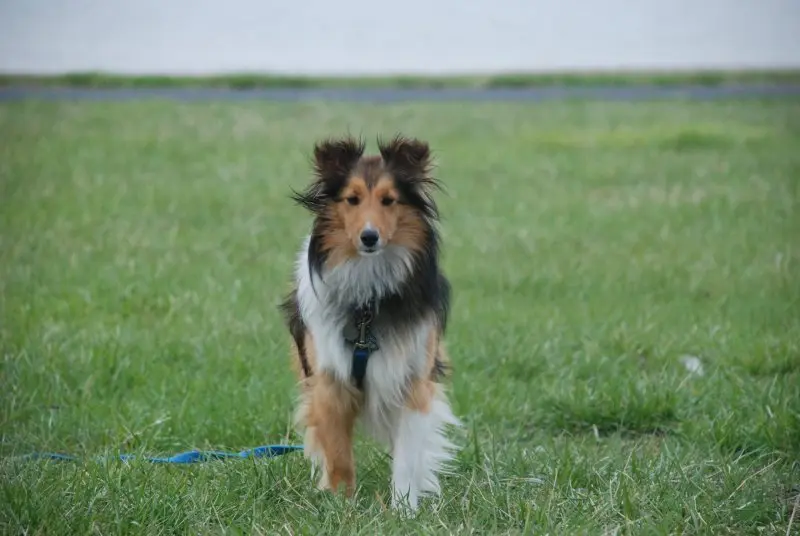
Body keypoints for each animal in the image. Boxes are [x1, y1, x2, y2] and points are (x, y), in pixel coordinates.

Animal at [282, 135, 460, 510]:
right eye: (352, 199)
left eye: (389, 200)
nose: (369, 237)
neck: (368, 301)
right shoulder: (330, 380)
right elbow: (338, 455)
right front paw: (341, 506)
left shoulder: (412, 379)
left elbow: (407, 456)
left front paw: (404, 510)